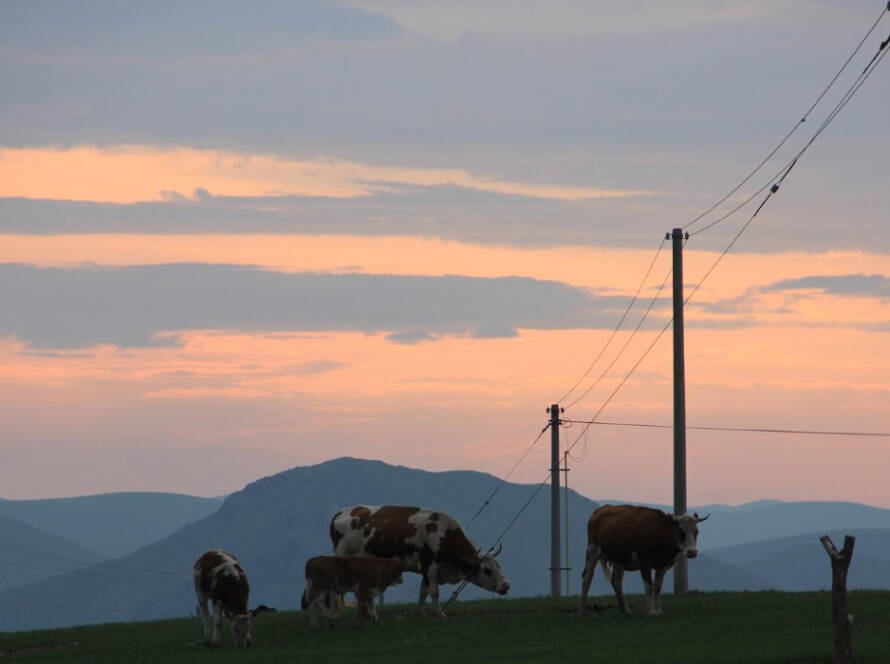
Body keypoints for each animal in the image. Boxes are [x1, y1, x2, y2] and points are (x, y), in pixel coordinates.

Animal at [328, 506, 510, 620]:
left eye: (499, 567)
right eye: (487, 570)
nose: (506, 586)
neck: (443, 532)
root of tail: (341, 512)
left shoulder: (426, 569)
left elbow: (423, 591)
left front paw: (419, 613)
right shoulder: (431, 563)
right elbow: (434, 591)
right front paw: (440, 614)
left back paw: (366, 613)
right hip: (342, 558)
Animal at [576, 504, 708, 616]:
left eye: (696, 532)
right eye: (681, 532)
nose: (692, 552)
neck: (660, 533)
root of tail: (600, 510)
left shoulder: (662, 566)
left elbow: (657, 587)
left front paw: (658, 610)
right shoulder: (645, 563)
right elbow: (649, 586)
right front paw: (651, 611)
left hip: (618, 559)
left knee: (616, 581)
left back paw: (625, 610)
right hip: (592, 551)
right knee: (587, 579)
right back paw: (582, 611)